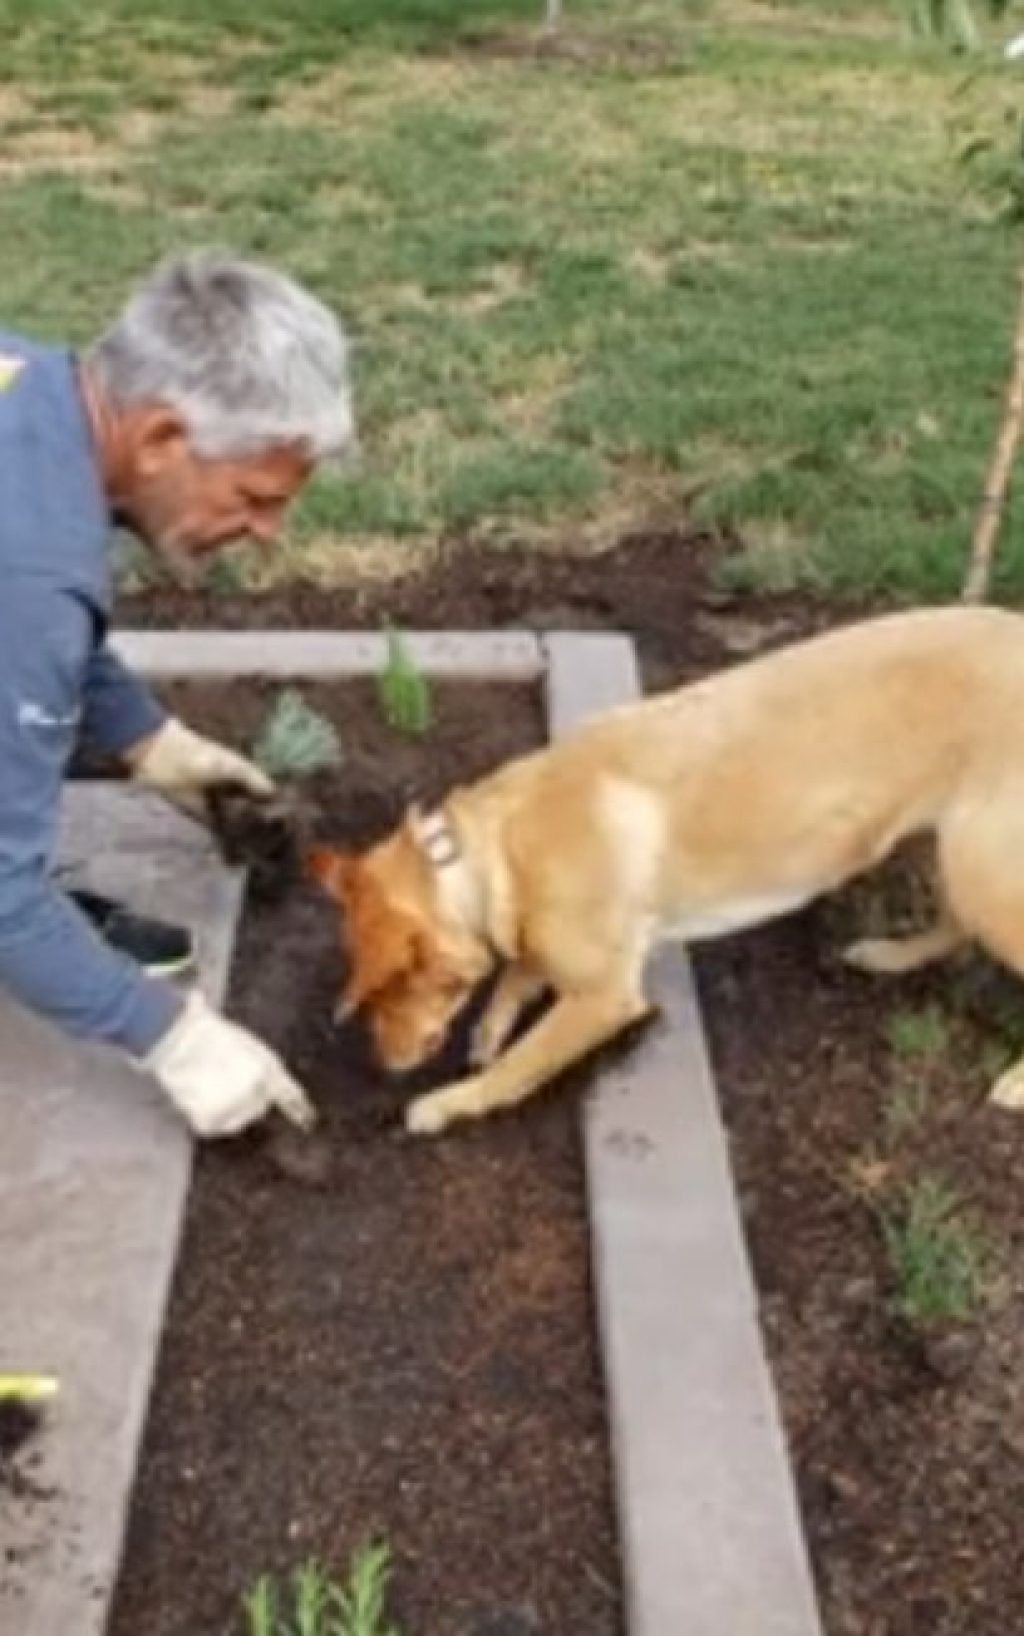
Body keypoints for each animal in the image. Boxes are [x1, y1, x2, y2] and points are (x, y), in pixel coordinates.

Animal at [307, 605, 1020, 1138]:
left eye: (387, 993)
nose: (382, 1068)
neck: (492, 853)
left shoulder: (604, 997)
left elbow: (518, 1068)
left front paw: (453, 1101)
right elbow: (517, 974)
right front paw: (490, 1027)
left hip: (984, 873)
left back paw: (1014, 1078)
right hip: (956, 854)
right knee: (953, 924)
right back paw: (890, 956)